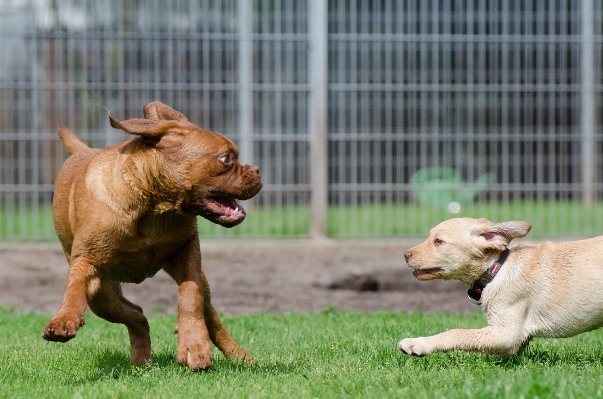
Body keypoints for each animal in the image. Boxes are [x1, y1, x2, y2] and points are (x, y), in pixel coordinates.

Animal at [41, 101, 260, 370]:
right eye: (226, 158)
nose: (257, 170)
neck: (154, 206)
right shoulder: (86, 262)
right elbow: (73, 291)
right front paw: (64, 319)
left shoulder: (188, 255)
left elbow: (190, 298)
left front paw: (194, 345)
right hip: (102, 296)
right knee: (136, 314)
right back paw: (141, 359)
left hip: (199, 282)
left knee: (208, 315)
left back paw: (239, 356)